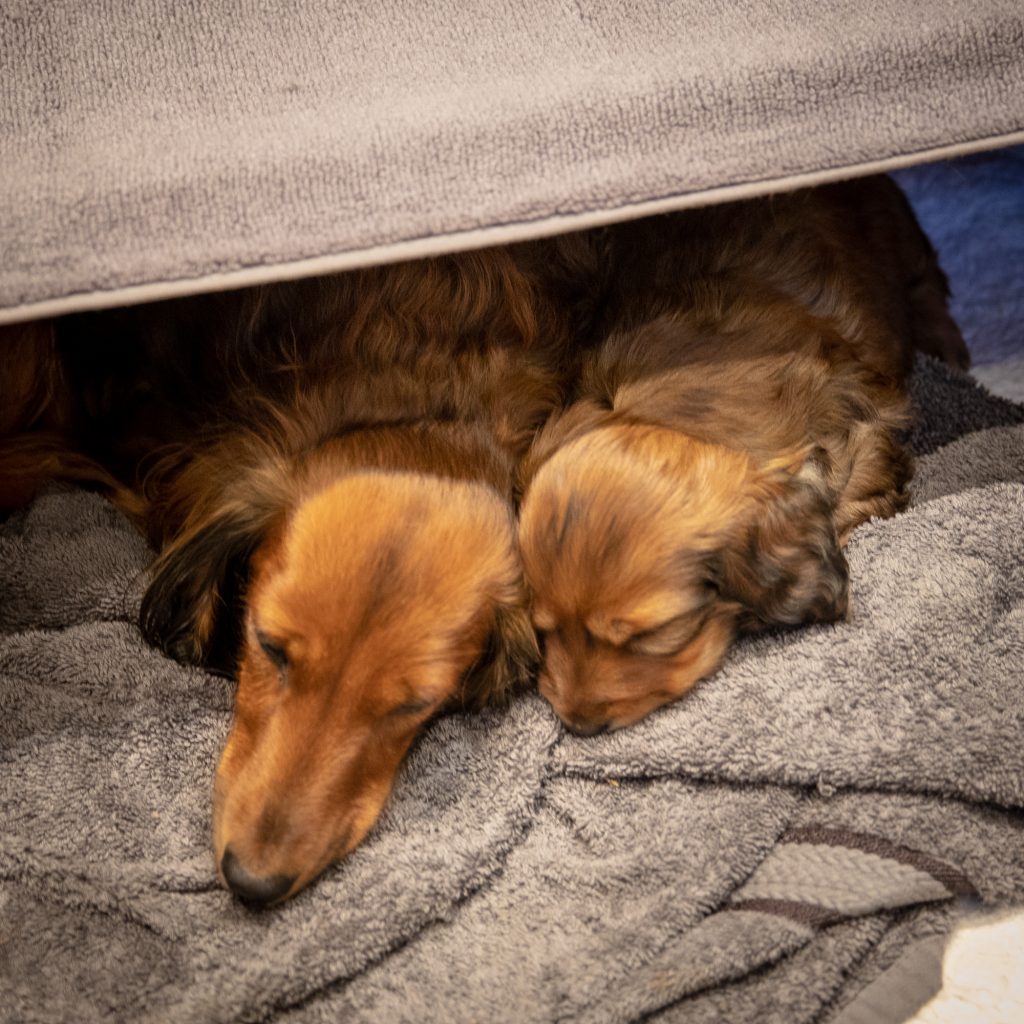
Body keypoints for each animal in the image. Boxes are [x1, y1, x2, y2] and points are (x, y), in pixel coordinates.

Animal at [520, 176, 966, 737]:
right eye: (544, 627)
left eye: (649, 635)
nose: (578, 724)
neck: (681, 416)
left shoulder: (866, 454)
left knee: (930, 287)